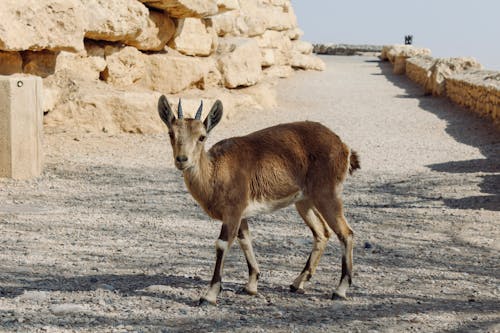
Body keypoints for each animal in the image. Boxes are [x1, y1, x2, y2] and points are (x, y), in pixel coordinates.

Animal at [158, 95, 358, 304]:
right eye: (171, 133)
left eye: (201, 136)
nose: (182, 159)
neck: (216, 171)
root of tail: (343, 147)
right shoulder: (241, 214)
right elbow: (245, 240)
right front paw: (251, 286)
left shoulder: (233, 210)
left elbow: (222, 244)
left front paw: (210, 295)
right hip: (305, 201)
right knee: (322, 232)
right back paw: (297, 283)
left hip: (327, 194)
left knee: (346, 233)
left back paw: (340, 290)